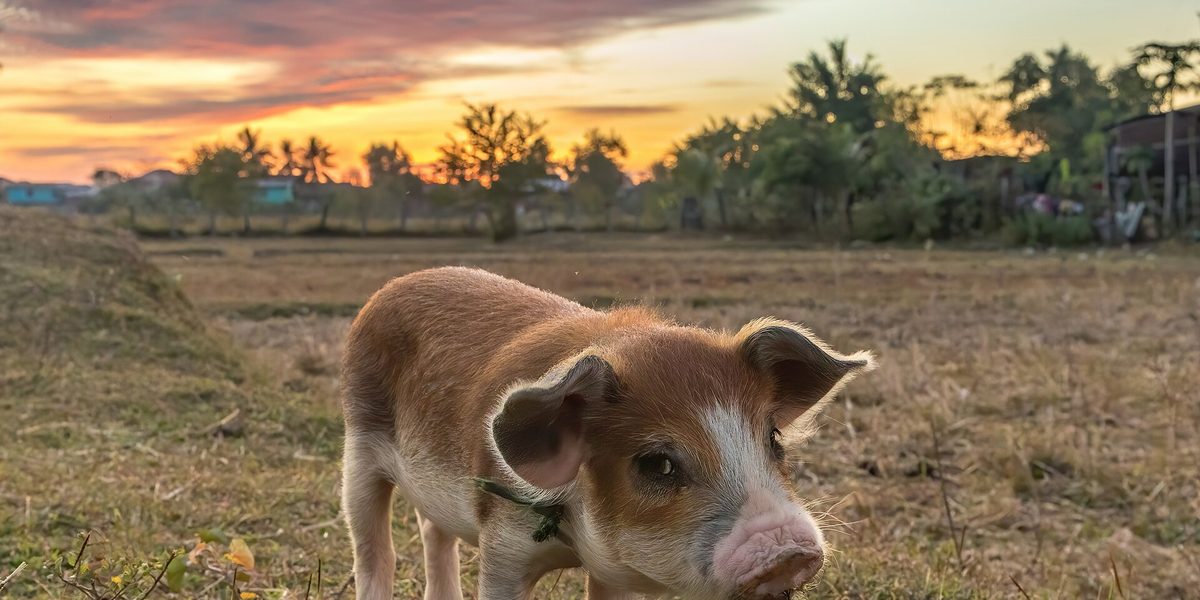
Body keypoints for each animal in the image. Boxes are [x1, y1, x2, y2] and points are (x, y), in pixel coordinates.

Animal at [340, 267, 874, 600]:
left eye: (774, 439)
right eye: (656, 463)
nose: (788, 551)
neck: (573, 537)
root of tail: (391, 288)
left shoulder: (619, 571)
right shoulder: (502, 543)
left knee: (434, 534)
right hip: (358, 445)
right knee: (374, 549)